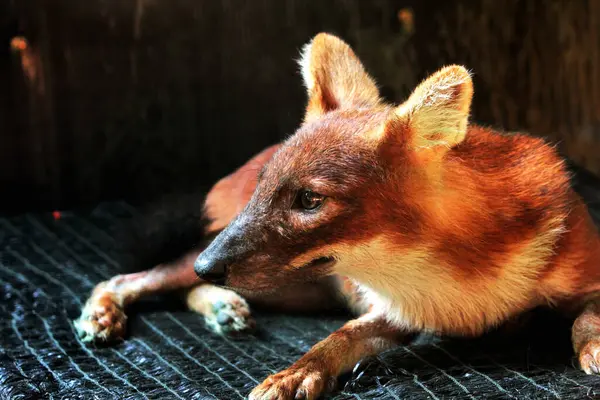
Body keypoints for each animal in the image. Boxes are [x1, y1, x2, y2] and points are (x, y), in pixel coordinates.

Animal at [76, 32, 600, 398]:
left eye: (310, 200)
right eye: (266, 187)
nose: (210, 265)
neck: (464, 280)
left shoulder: (584, 277)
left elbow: (585, 318)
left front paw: (594, 346)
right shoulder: (396, 311)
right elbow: (338, 339)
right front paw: (296, 373)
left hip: (287, 287)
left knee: (179, 284)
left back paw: (221, 304)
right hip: (253, 269)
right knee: (128, 278)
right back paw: (113, 311)